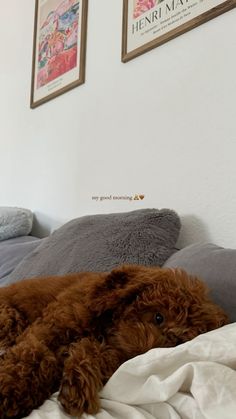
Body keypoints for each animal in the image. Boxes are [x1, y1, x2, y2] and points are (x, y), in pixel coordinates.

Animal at [0, 268, 228, 418]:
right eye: (158, 317)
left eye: (176, 343)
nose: (139, 356)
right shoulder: (44, 333)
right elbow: (34, 358)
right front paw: (9, 393)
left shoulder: (111, 351)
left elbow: (91, 353)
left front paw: (78, 385)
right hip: (10, 318)